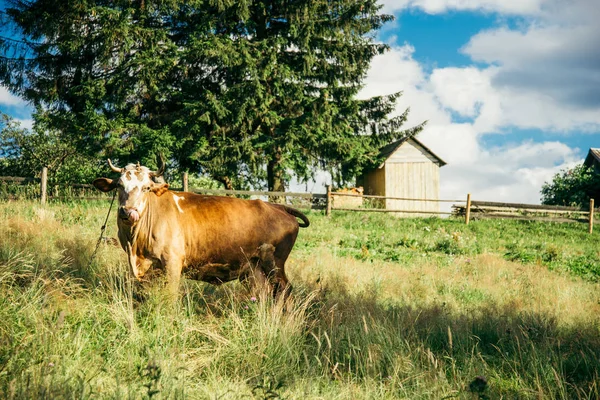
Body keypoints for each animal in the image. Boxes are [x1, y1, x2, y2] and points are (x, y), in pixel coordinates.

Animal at [94, 159, 310, 296]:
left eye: (147, 187)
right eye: (119, 185)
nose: (128, 211)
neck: (136, 246)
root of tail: (277, 206)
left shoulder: (173, 263)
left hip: (275, 265)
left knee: (284, 292)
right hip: (254, 269)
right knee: (263, 294)